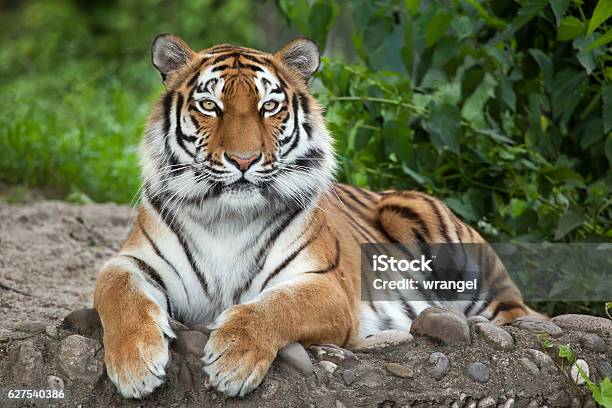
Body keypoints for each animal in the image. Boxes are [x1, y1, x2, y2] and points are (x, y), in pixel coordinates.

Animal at [92, 34, 536, 398]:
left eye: (269, 106)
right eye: (209, 106)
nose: (243, 160)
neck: (227, 219)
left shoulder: (327, 285)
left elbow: (275, 307)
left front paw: (233, 359)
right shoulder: (133, 261)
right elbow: (119, 292)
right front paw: (135, 365)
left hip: (427, 227)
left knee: (516, 314)